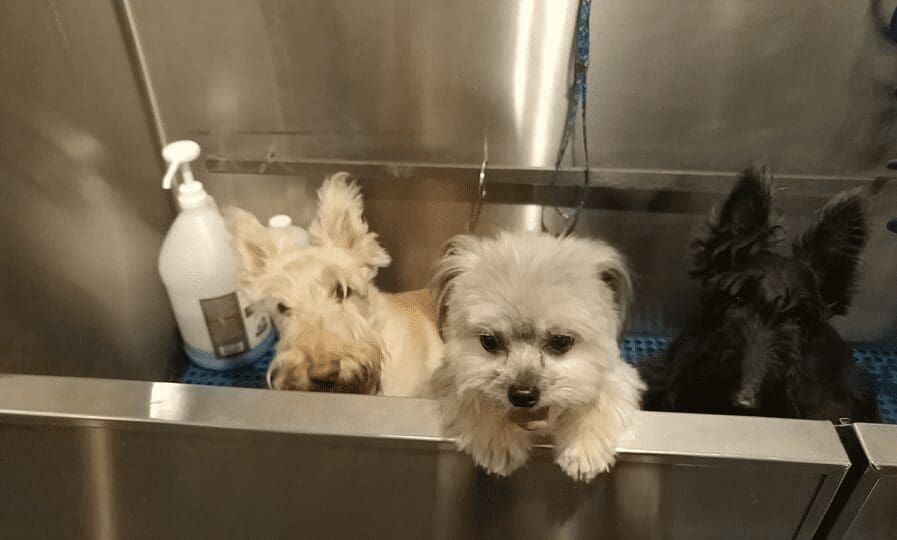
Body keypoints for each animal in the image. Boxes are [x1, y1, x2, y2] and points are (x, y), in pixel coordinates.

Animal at [428, 232, 644, 480]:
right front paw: (498, 440)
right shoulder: (449, 379)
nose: (522, 395)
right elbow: (474, 397)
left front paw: (583, 444)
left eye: (561, 341)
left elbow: (601, 397)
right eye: (489, 341)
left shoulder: (619, 375)